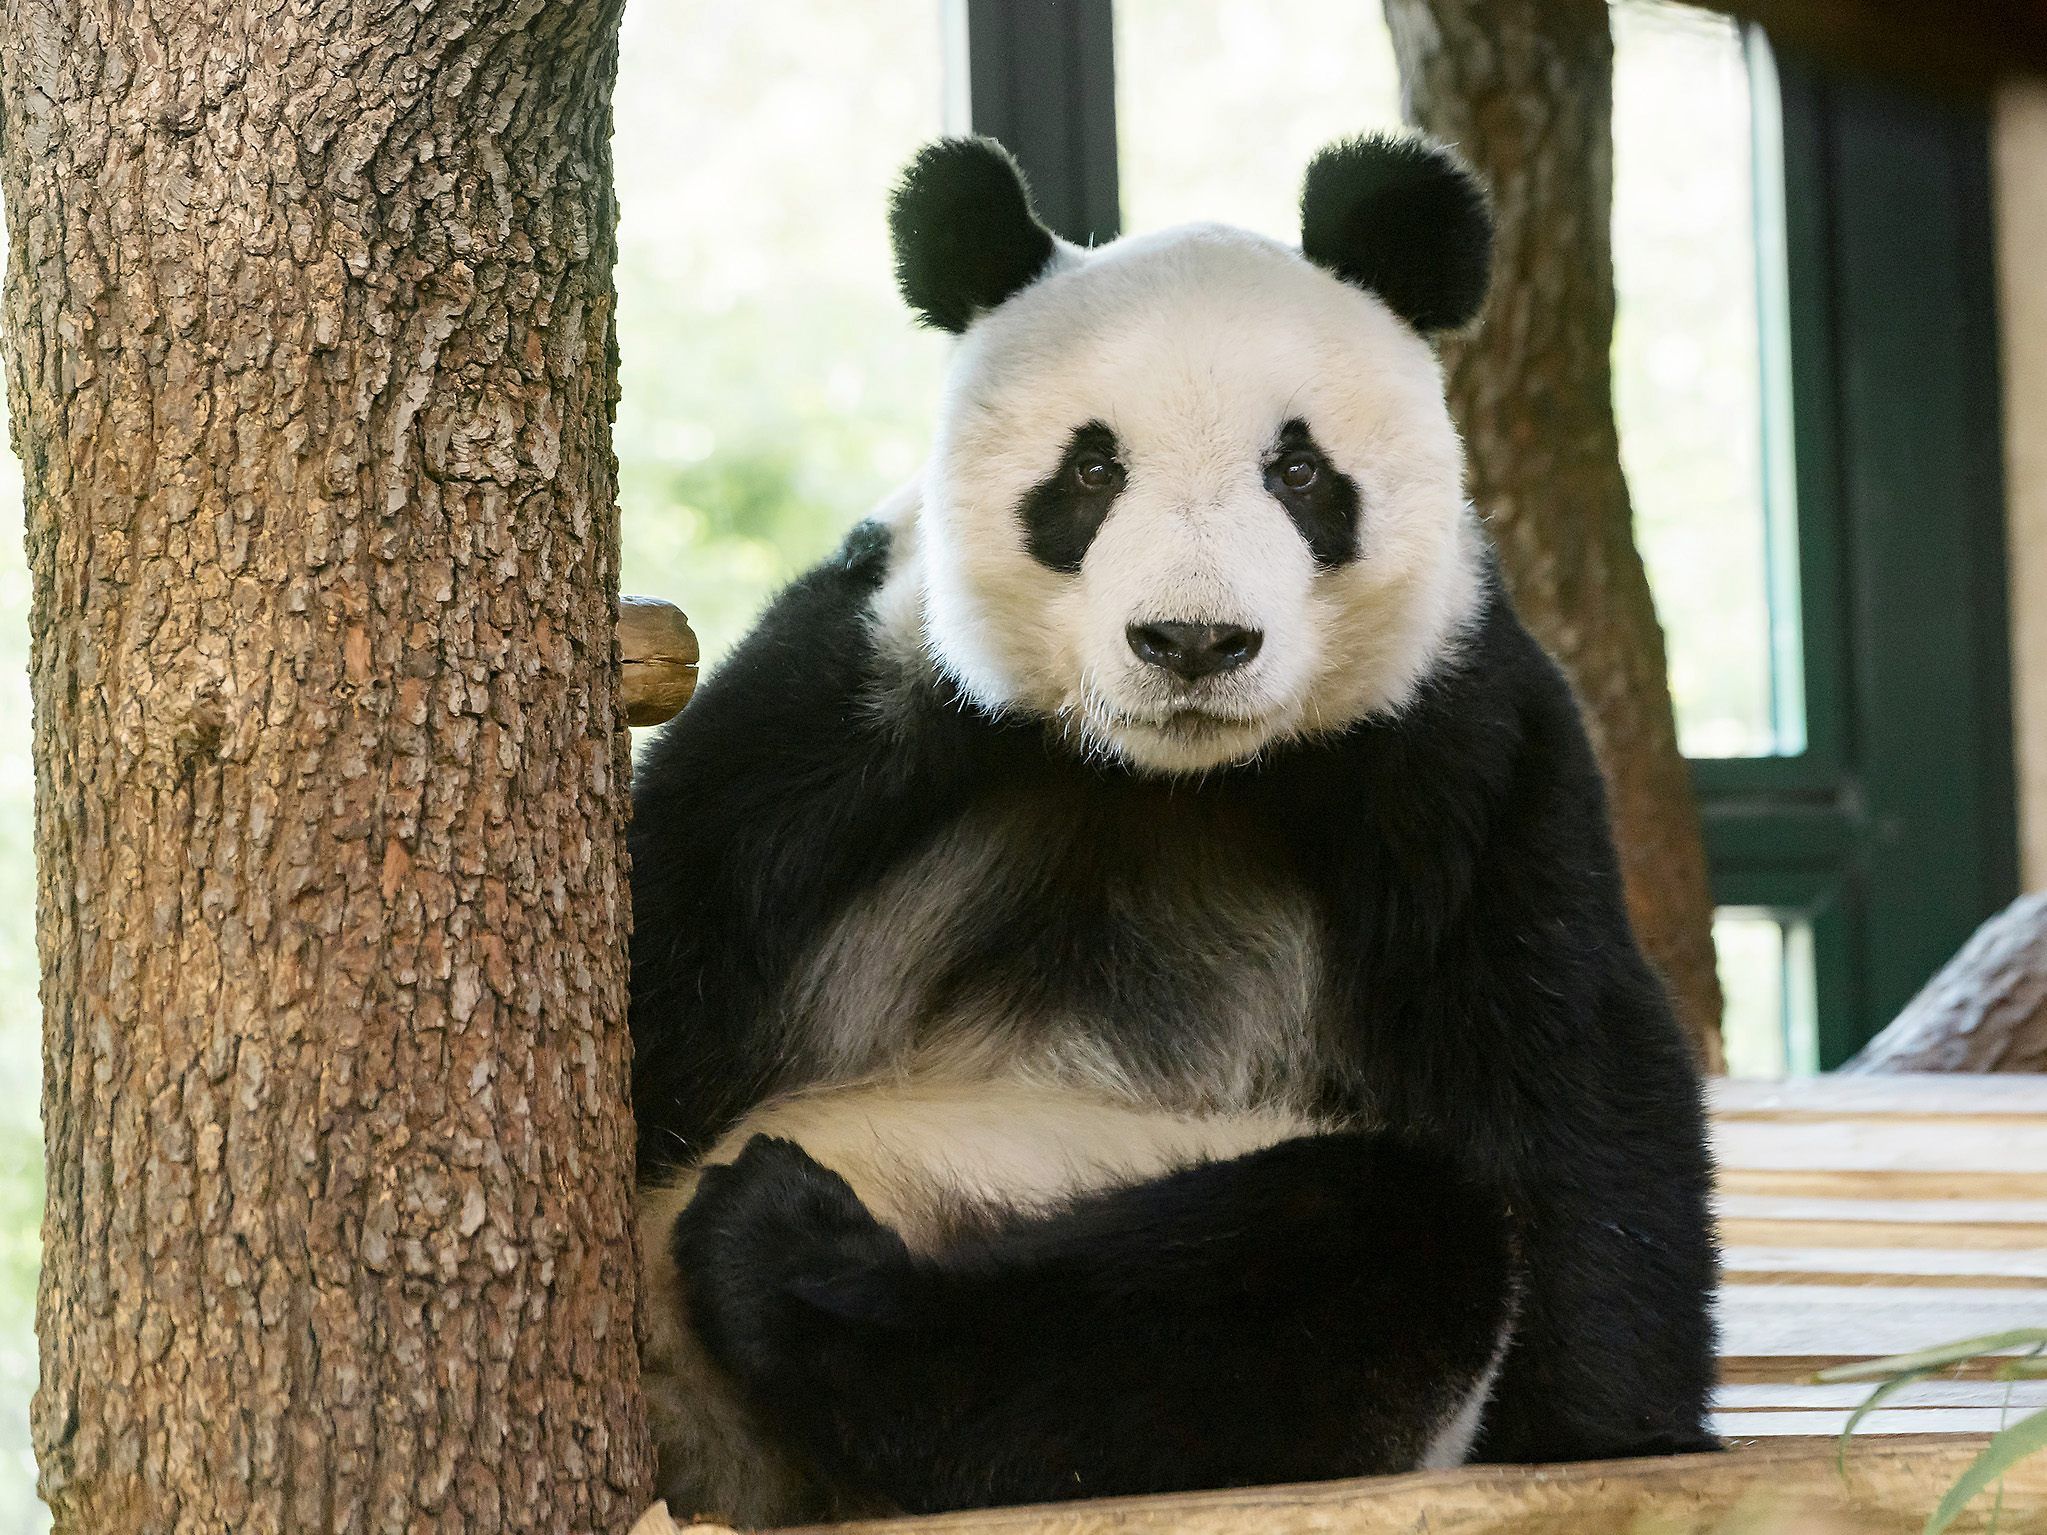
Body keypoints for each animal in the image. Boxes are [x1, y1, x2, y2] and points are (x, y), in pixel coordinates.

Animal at [630, 132, 1719, 1530]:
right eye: (1092, 471)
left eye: (1299, 472)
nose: (1192, 640)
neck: (1162, 778)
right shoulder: (852, 710)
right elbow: (670, 927)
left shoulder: (1456, 750)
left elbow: (1568, 1063)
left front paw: (1611, 1435)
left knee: (1334, 1255)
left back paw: (793, 1253)